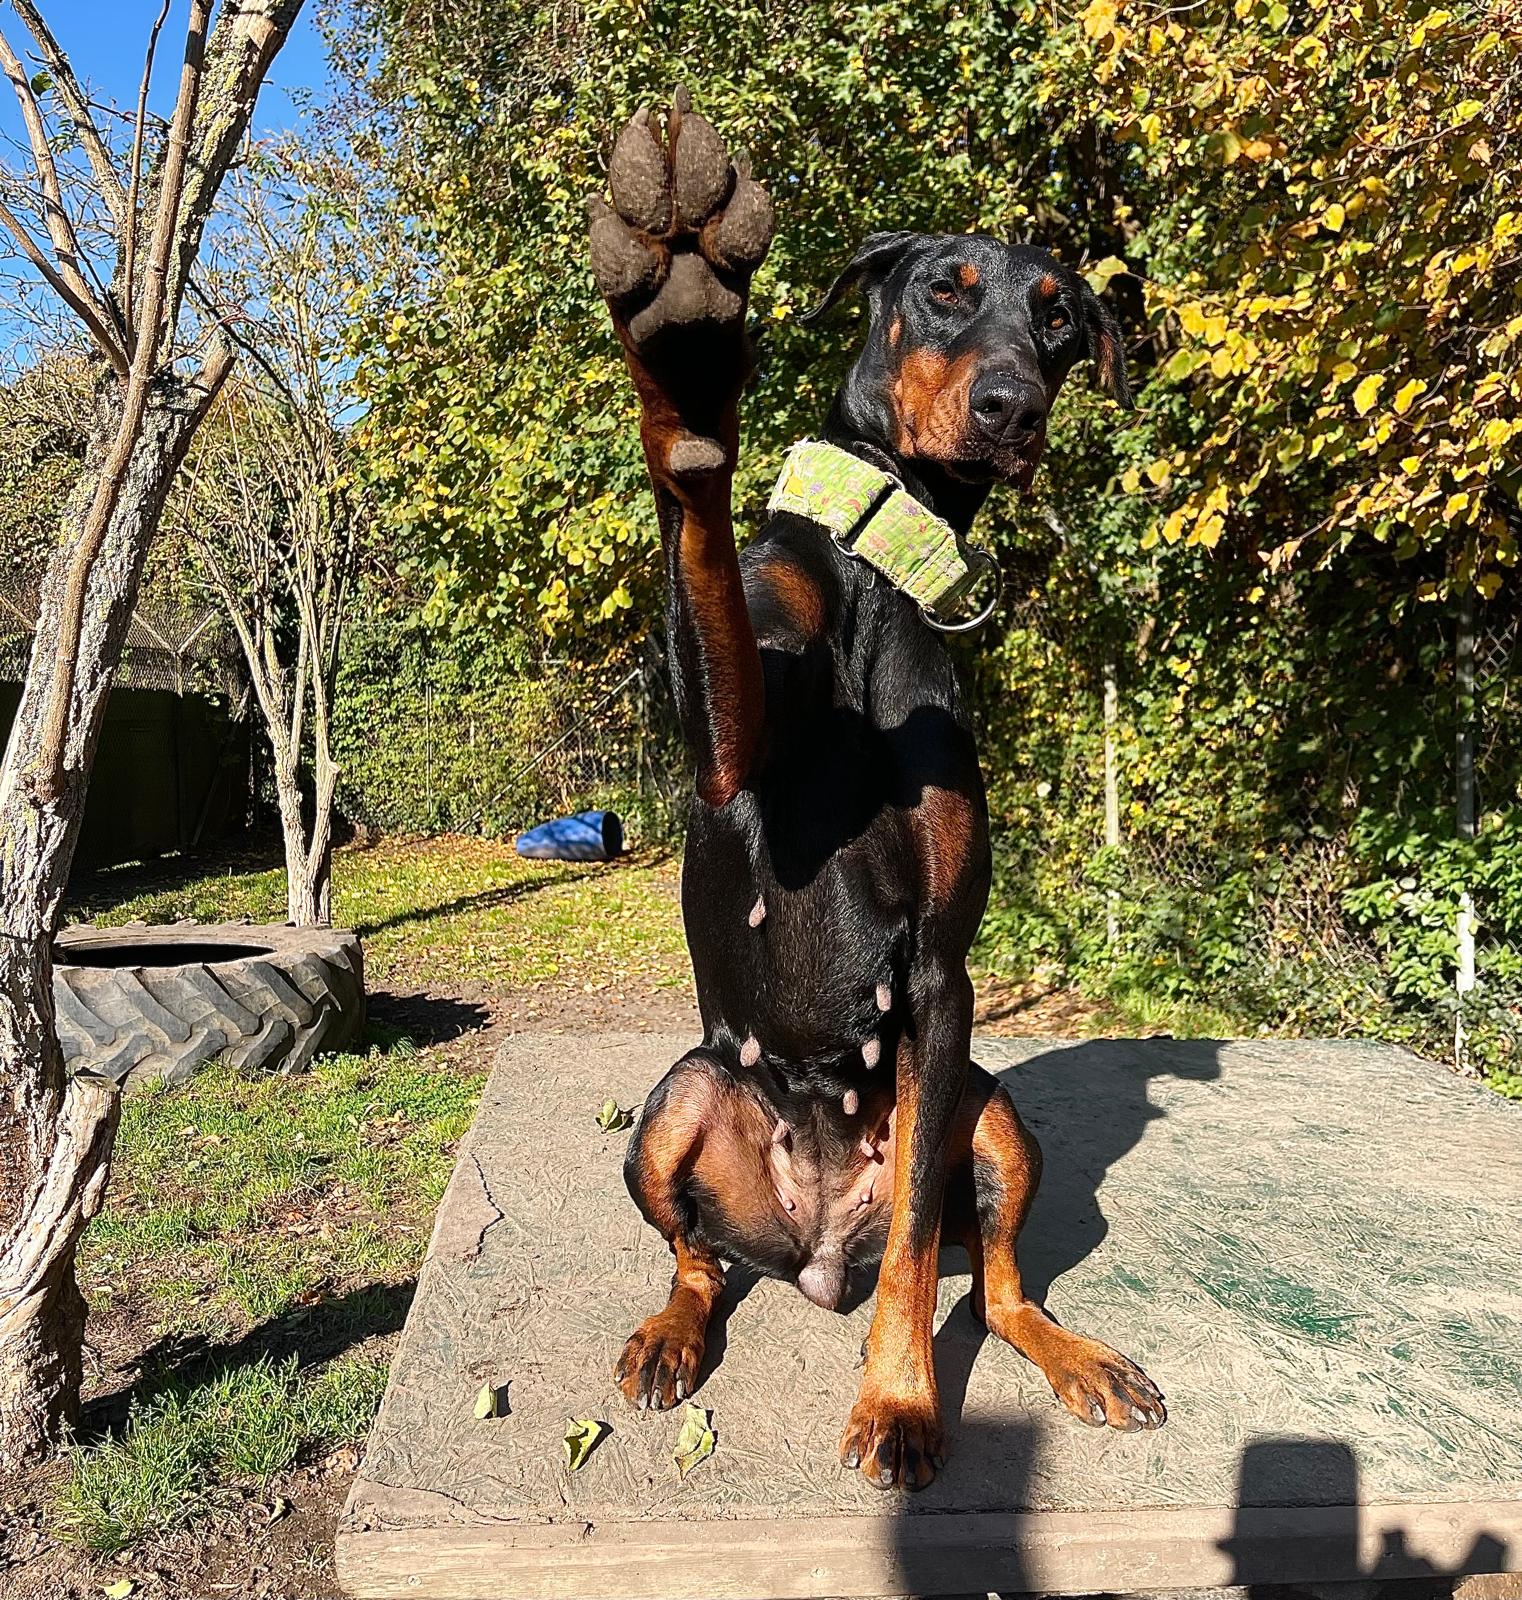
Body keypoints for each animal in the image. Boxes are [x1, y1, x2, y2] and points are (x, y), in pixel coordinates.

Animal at [588, 93, 1158, 1484]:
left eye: (1057, 316)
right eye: (945, 291)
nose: (1012, 407)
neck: (877, 573)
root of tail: (809, 1255)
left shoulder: (942, 975)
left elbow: (913, 1248)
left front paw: (898, 1401)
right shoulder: (726, 739)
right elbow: (700, 536)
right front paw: (683, 351)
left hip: (990, 1112)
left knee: (991, 1283)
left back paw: (1076, 1356)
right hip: (677, 1102)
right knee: (693, 1254)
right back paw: (669, 1334)